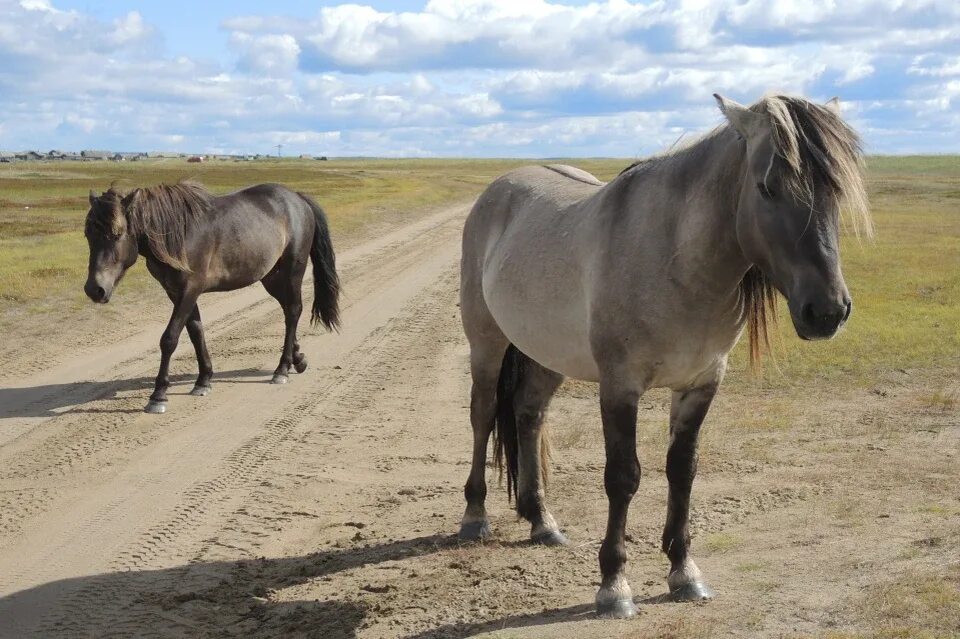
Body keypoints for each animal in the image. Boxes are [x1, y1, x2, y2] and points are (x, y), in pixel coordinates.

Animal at [84, 180, 342, 416]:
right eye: (88, 234)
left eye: (117, 234)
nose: (94, 289)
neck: (179, 234)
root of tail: (297, 198)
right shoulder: (176, 292)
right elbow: (196, 332)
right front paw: (204, 380)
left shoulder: (190, 290)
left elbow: (169, 339)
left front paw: (159, 394)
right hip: (270, 277)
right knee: (289, 310)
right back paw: (297, 358)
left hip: (292, 272)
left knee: (294, 311)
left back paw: (282, 368)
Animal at [458, 95, 872, 620]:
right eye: (767, 187)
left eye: (834, 190)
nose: (827, 311)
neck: (676, 260)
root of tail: (501, 187)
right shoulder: (620, 387)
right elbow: (623, 477)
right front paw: (614, 586)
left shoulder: (700, 384)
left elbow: (682, 471)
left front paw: (684, 573)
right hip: (486, 342)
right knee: (484, 413)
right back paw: (474, 515)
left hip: (547, 353)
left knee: (528, 415)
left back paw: (542, 520)